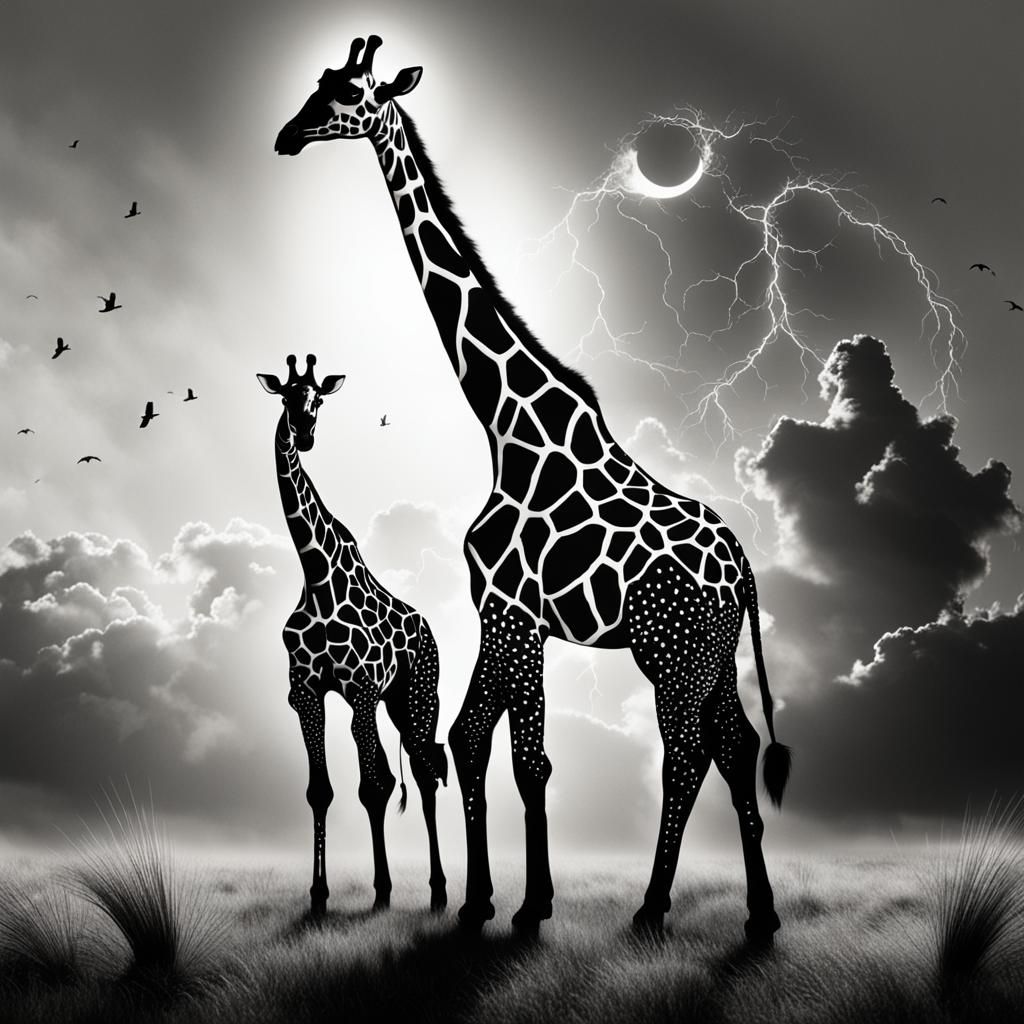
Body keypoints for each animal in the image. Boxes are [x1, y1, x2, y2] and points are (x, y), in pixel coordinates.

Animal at [258, 353, 448, 917]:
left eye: (319, 398)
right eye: (286, 396)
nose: (304, 433)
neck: (317, 576)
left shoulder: (360, 687)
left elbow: (373, 786)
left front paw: (383, 891)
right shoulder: (306, 692)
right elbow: (320, 790)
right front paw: (318, 896)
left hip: (418, 695)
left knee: (424, 772)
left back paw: (437, 891)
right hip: (394, 702)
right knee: (411, 768)